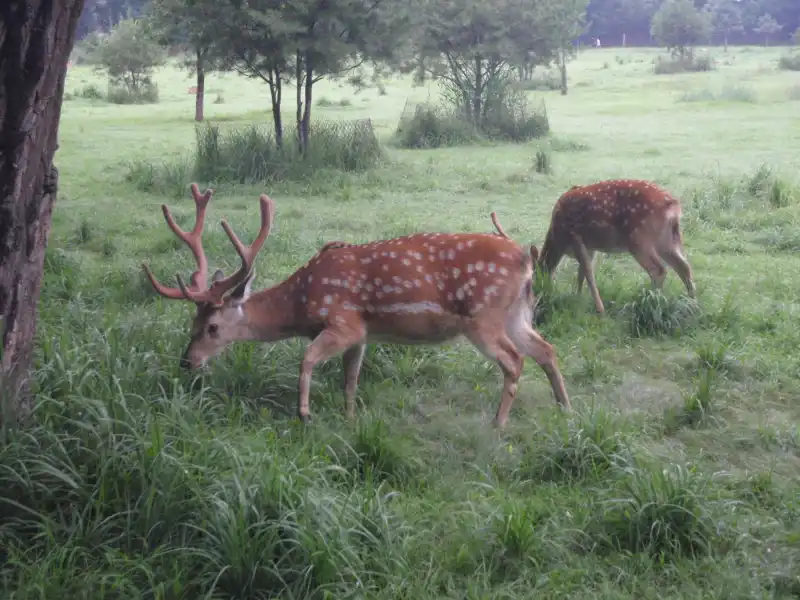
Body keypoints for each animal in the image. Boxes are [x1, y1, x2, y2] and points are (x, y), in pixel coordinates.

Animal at [142, 184, 571, 428]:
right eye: (191, 324)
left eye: (212, 327)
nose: (187, 362)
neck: (302, 303)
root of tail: (525, 260)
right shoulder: (362, 334)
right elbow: (350, 379)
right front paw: (349, 419)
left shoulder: (342, 321)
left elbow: (307, 360)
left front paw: (305, 414)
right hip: (516, 313)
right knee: (546, 349)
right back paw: (564, 409)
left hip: (483, 316)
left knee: (515, 360)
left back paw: (498, 425)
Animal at [532, 179, 696, 315]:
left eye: (531, 279)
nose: (539, 296)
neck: (556, 239)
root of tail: (673, 206)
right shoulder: (589, 247)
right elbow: (581, 273)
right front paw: (577, 297)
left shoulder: (574, 236)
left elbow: (587, 272)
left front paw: (599, 309)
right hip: (668, 240)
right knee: (684, 266)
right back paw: (692, 303)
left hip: (639, 239)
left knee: (659, 270)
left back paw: (650, 301)